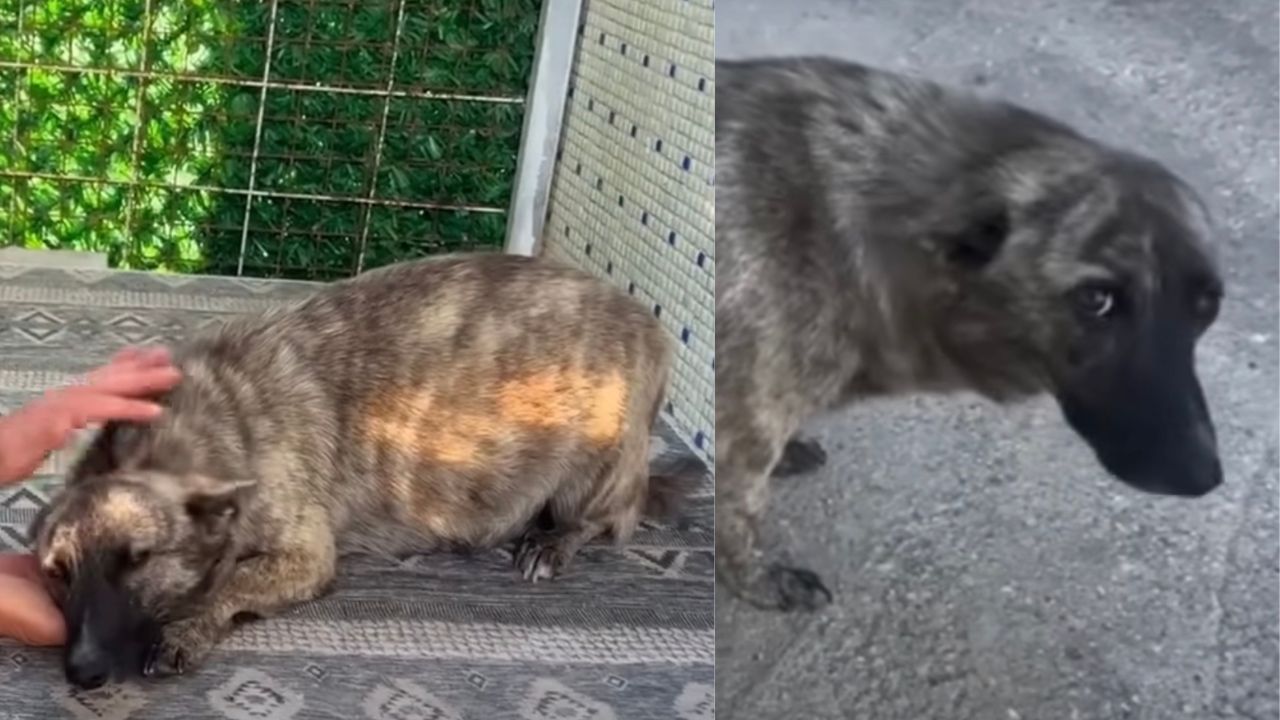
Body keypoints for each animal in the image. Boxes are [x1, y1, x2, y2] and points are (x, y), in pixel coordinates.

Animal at [27, 252, 691, 681]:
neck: (219, 420)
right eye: (57, 573)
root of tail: (651, 325)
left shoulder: (306, 556)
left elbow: (233, 581)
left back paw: (552, 543)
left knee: (603, 520)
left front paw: (188, 627)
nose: (80, 672)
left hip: (593, 468)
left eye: (139, 560)